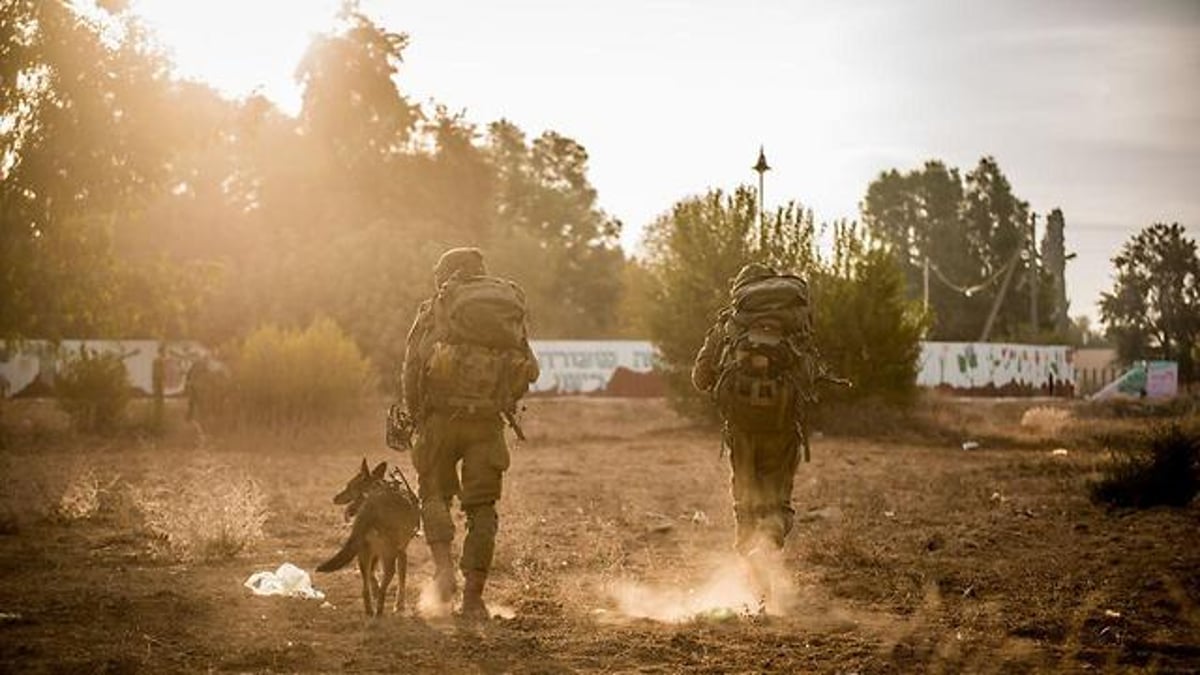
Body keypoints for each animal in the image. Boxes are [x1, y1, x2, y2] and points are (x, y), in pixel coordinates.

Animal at [319, 456, 422, 614]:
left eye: (349, 486)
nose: (335, 498)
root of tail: (373, 505)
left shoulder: (375, 553)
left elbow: (372, 575)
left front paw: (378, 591)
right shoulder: (401, 553)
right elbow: (401, 581)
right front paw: (399, 605)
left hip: (364, 553)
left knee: (365, 589)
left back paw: (370, 609)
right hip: (388, 556)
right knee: (386, 582)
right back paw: (378, 610)